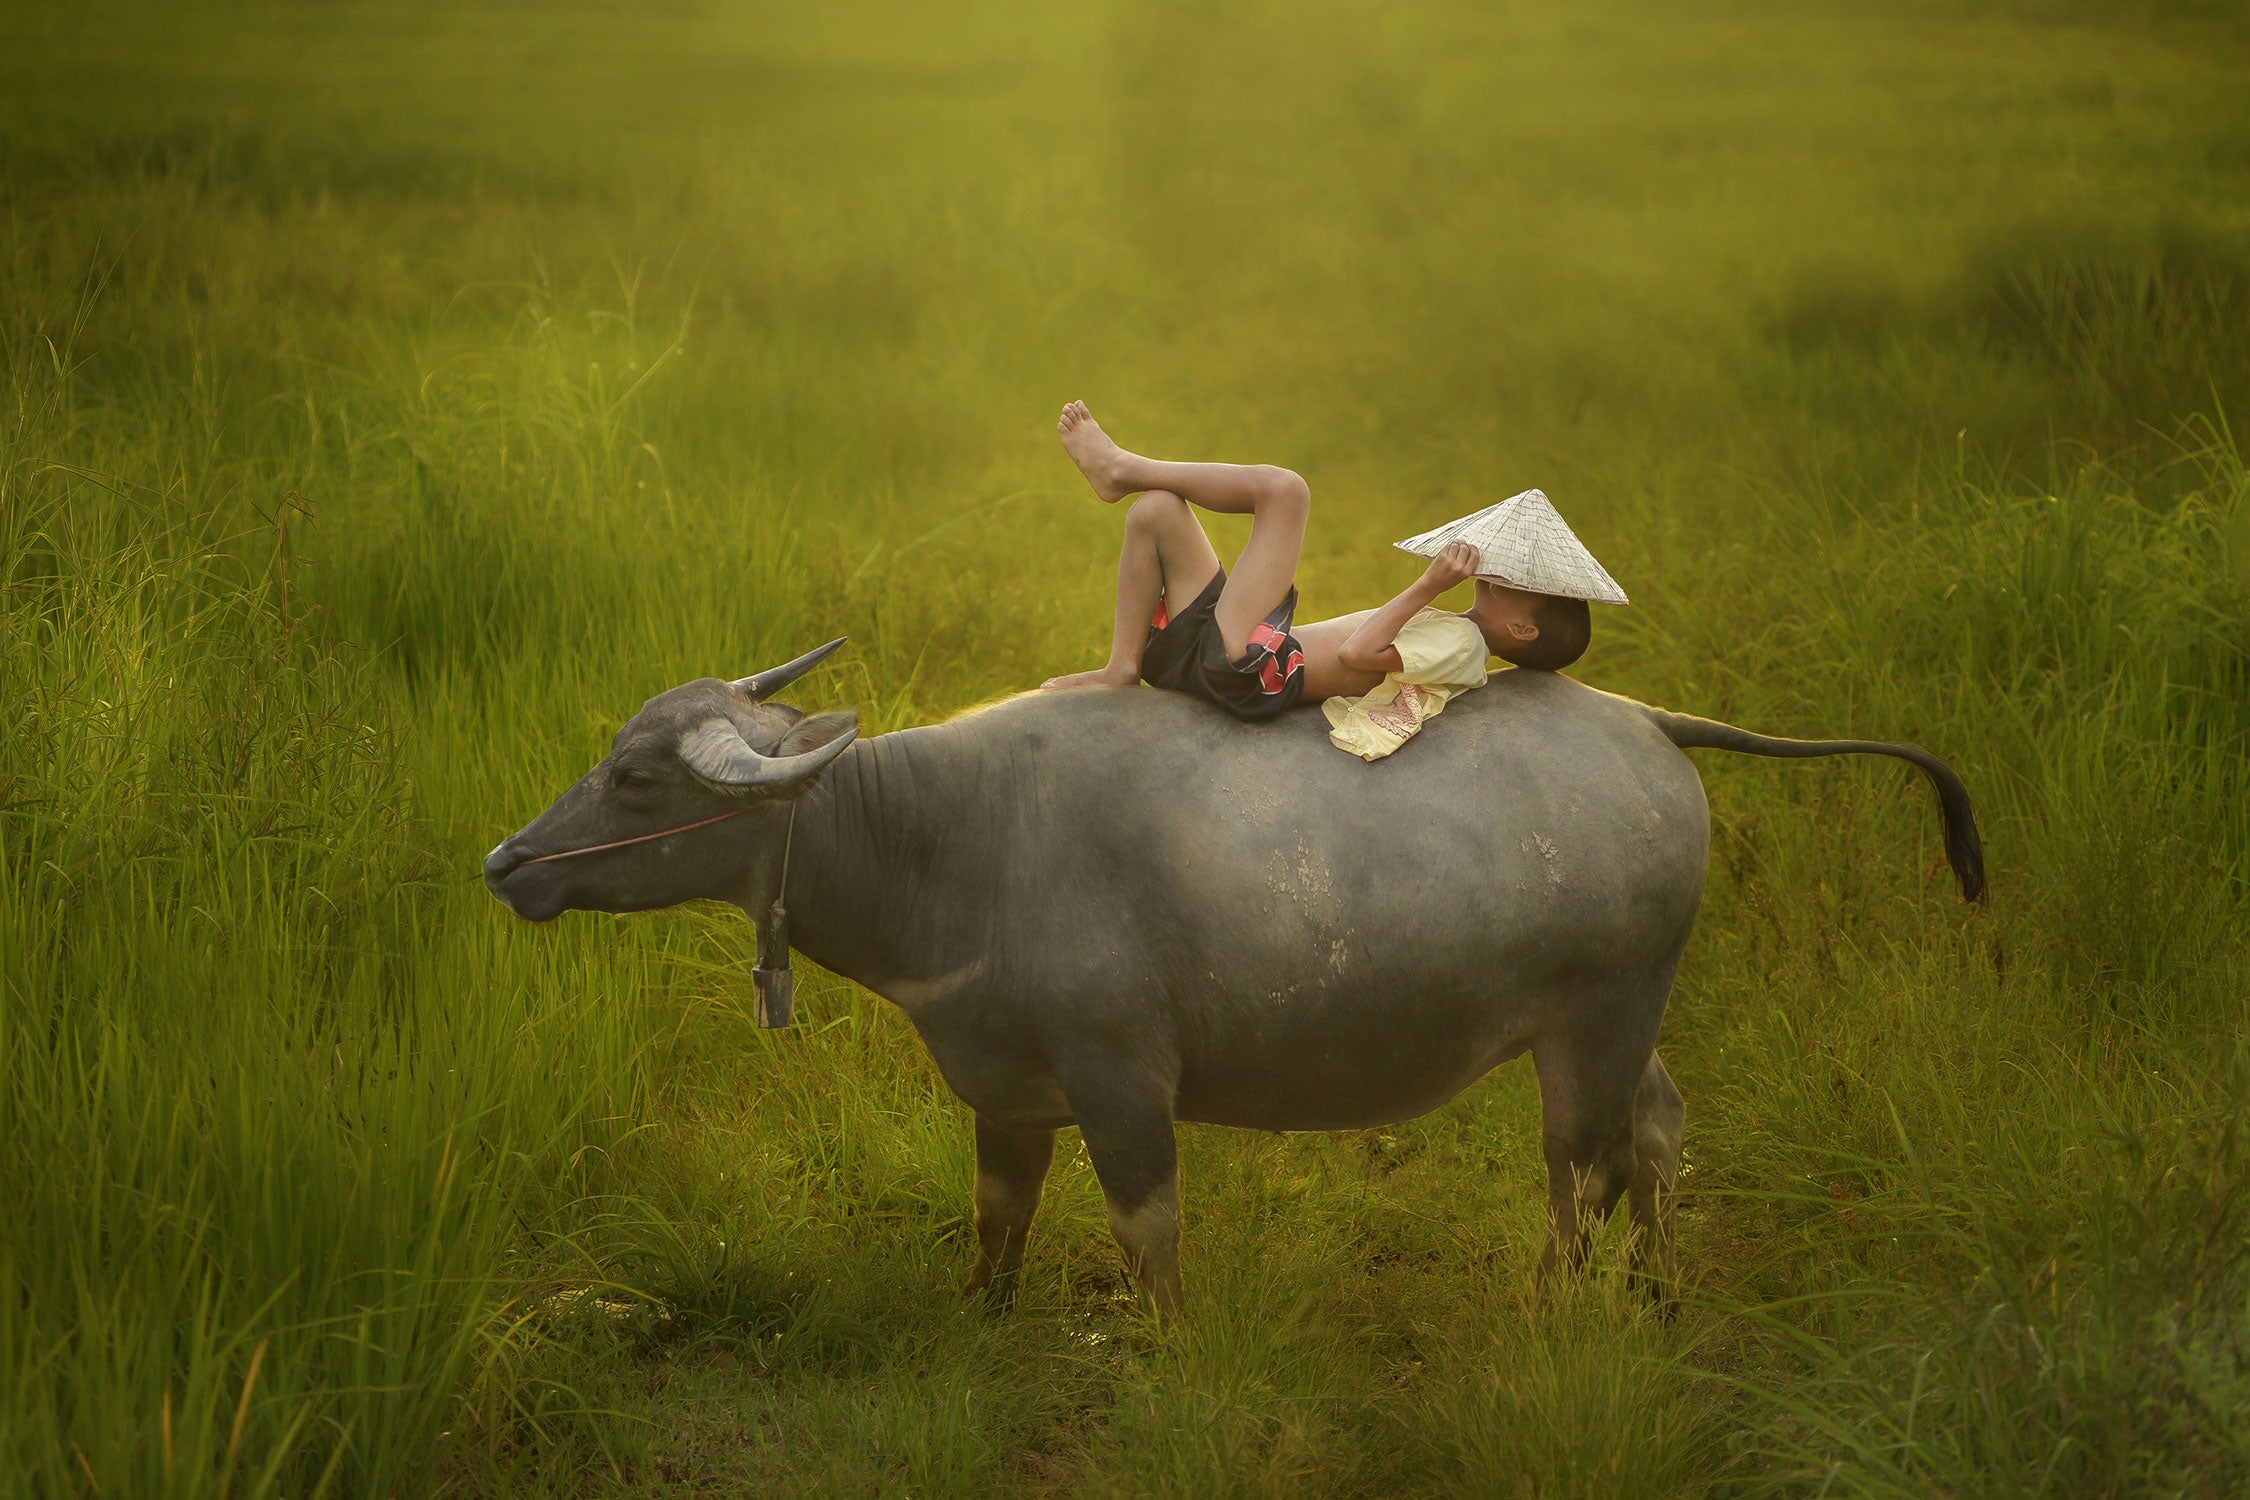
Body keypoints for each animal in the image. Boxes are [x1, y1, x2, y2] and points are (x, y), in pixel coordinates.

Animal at [483, 647, 1980, 1313]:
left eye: (636, 778)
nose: (508, 862)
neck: (947, 839)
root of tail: (1649, 724)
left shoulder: (1122, 1084)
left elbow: (1148, 1236)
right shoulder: (1005, 1092)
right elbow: (995, 1220)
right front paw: (982, 1317)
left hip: (1597, 1022)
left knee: (1584, 1173)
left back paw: (1565, 1304)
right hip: (1628, 1013)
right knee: (1658, 1131)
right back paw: (1658, 1292)